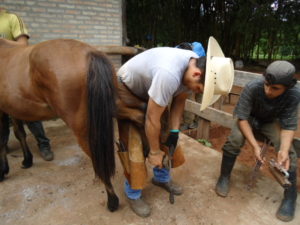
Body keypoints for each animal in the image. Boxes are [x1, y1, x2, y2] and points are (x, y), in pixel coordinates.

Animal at [0, 37, 134, 212]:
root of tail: (90, 53)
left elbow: (3, 139)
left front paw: (3, 170)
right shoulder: (13, 108)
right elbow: (19, 133)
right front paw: (27, 160)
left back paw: (112, 200)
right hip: (114, 106)